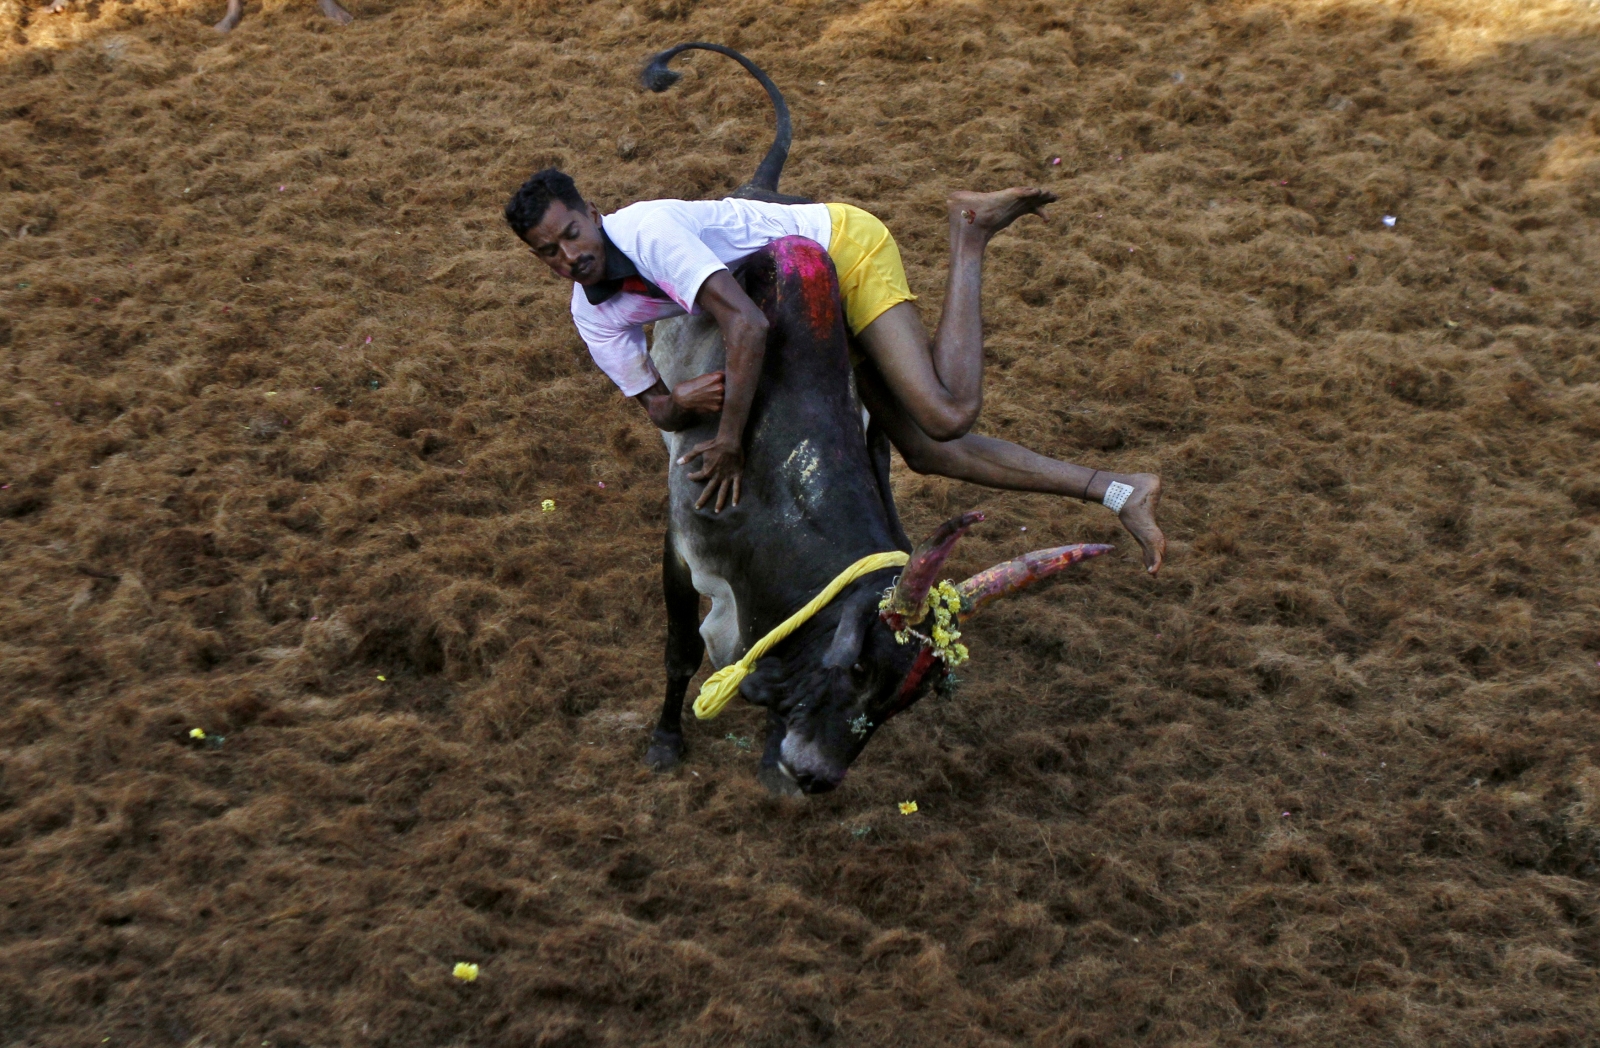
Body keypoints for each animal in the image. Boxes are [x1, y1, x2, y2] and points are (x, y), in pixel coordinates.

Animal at [636, 45, 1113, 790]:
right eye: (859, 666)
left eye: (906, 695)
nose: (816, 776)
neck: (778, 484)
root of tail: (759, 192)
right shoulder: (682, 547)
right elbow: (682, 650)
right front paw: (665, 740)